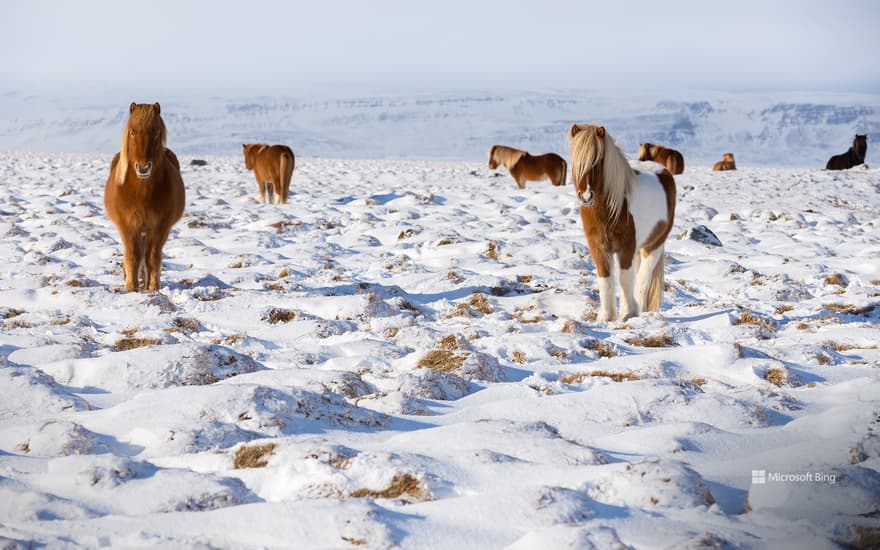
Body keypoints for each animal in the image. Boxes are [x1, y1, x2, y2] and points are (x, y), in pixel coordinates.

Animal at [104, 103, 185, 294]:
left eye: (156, 132)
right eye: (132, 132)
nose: (143, 167)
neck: (141, 193)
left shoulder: (161, 227)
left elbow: (153, 257)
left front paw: (153, 287)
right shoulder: (127, 226)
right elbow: (133, 256)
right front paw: (131, 287)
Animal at [568, 124, 676, 324]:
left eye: (598, 159)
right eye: (575, 160)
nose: (586, 196)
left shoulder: (626, 247)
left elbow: (626, 279)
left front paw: (628, 314)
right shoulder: (598, 248)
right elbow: (605, 280)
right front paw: (606, 317)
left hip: (654, 245)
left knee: (643, 279)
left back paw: (640, 309)